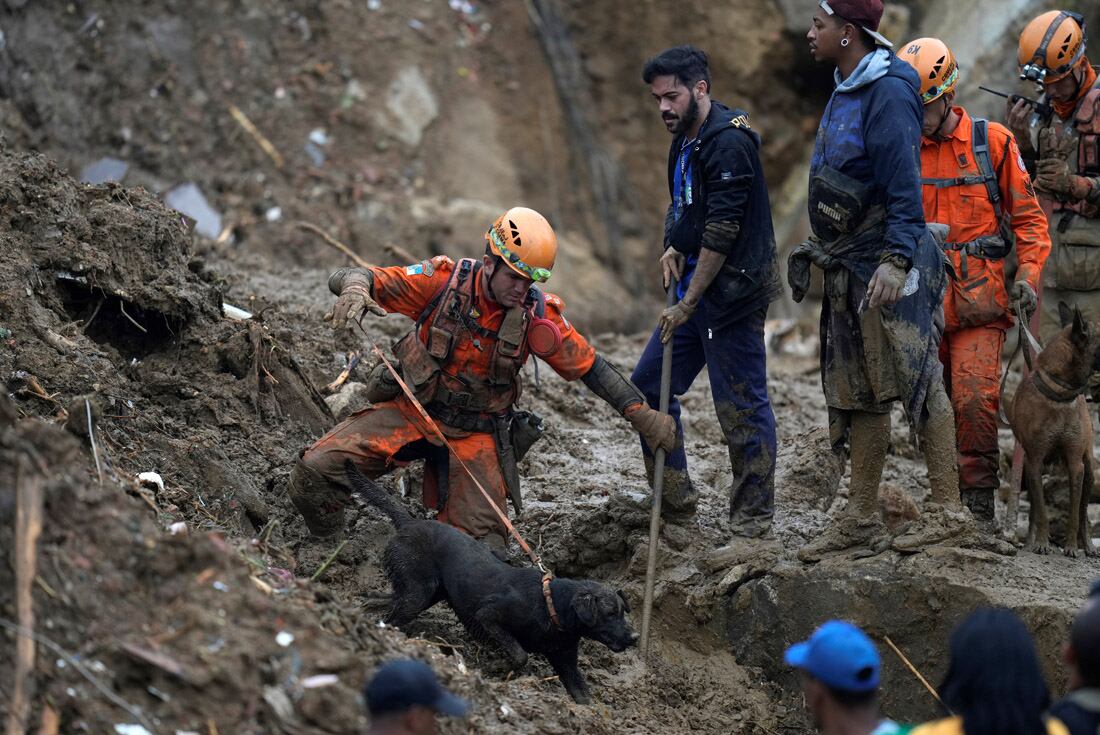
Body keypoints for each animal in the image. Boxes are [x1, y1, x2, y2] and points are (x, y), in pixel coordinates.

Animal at [343, 462, 638, 704]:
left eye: (623, 611)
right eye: (609, 613)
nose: (635, 637)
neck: (550, 606)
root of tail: (409, 522)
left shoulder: (566, 661)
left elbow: (583, 697)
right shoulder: (488, 616)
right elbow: (520, 654)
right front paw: (500, 668)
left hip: (425, 592)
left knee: (384, 600)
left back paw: (366, 610)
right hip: (418, 592)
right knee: (393, 616)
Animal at [1007, 301, 1100, 554]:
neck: (1059, 394)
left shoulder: (1076, 464)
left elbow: (1074, 513)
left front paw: (1071, 547)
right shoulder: (1035, 461)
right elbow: (1040, 511)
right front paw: (1041, 542)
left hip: (1089, 470)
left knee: (1084, 513)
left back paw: (1088, 546)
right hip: (1028, 470)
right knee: (1033, 508)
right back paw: (1031, 541)